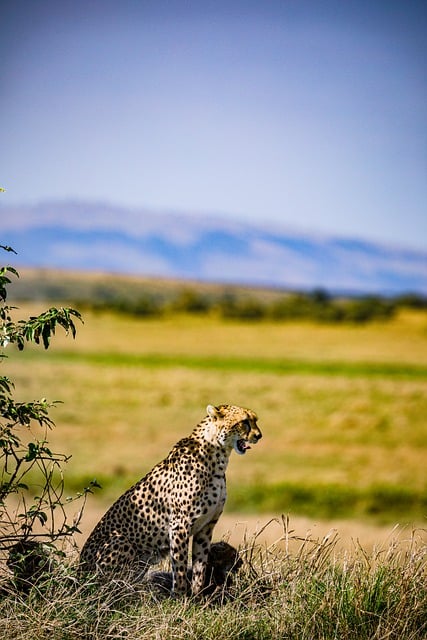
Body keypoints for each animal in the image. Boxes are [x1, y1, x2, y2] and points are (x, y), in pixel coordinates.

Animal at [78, 404, 262, 596]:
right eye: (244, 422)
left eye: (255, 420)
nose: (259, 435)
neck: (217, 458)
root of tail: (78, 572)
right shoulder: (180, 525)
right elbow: (179, 566)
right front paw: (179, 597)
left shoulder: (206, 526)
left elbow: (200, 566)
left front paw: (197, 596)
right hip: (121, 541)